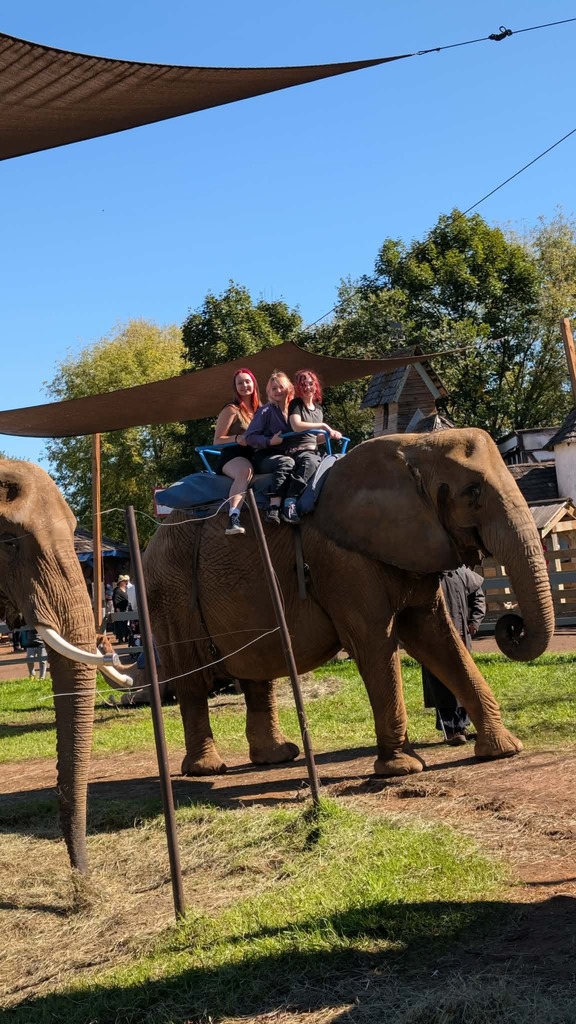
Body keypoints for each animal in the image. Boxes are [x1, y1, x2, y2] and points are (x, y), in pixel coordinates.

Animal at [143, 427, 554, 778]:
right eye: (472, 492)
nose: (512, 625)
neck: (416, 445)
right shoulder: (341, 560)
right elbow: (375, 642)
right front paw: (401, 769)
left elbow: (436, 635)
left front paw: (503, 749)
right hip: (168, 592)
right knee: (192, 679)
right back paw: (207, 769)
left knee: (257, 669)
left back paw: (276, 757)